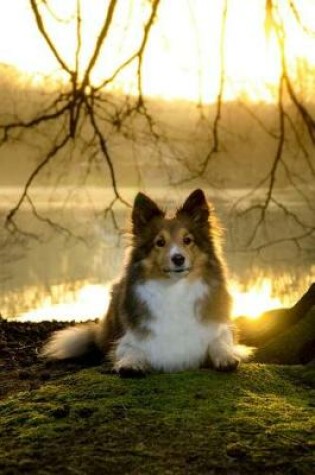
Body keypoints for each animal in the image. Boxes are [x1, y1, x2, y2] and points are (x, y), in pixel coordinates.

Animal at [41, 188, 252, 378]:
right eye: (160, 242)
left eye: (187, 240)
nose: (178, 259)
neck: (175, 290)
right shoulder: (127, 339)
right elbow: (131, 349)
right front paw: (131, 364)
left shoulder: (221, 328)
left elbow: (220, 342)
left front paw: (226, 357)